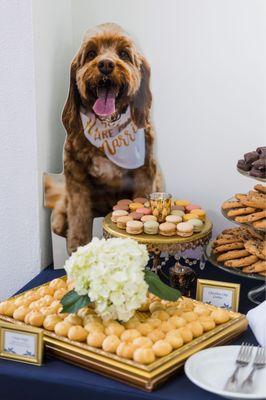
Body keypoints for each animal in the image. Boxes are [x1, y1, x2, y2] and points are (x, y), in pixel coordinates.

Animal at [52, 23, 162, 252]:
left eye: (124, 54)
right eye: (91, 53)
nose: (105, 64)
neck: (108, 127)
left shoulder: (145, 174)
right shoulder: (76, 180)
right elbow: (79, 220)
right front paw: (78, 247)